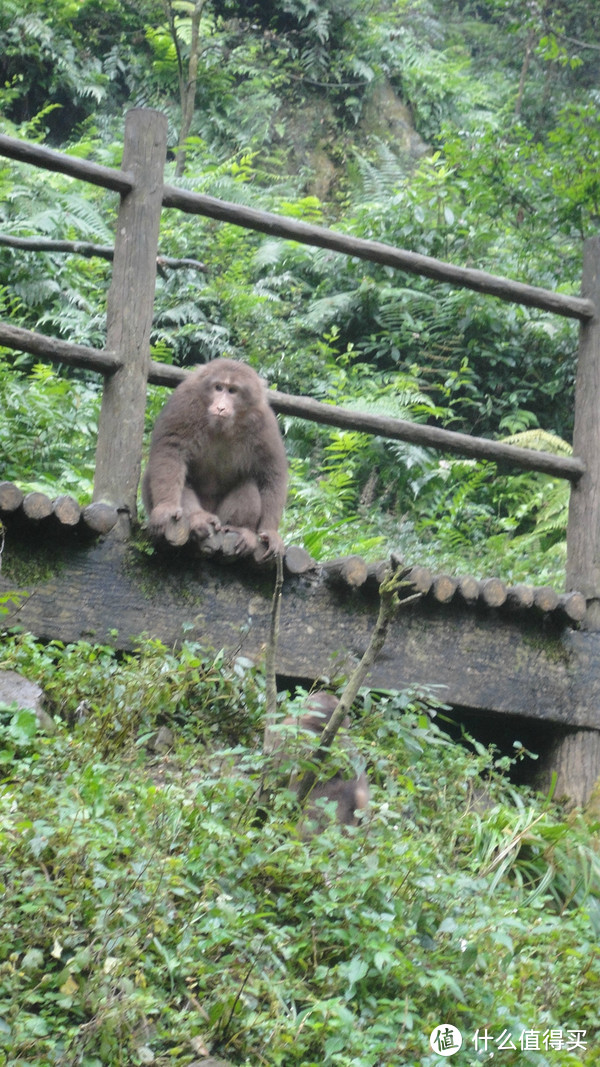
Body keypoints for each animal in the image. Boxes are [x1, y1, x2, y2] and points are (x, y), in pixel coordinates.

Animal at [141, 358, 288, 559]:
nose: (221, 406)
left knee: (249, 482)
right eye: (218, 387)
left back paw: (240, 529)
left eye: (232, 391)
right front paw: (167, 507)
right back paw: (198, 518)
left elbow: (272, 473)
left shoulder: (264, 423)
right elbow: (171, 449)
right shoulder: (184, 403)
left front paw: (270, 531)